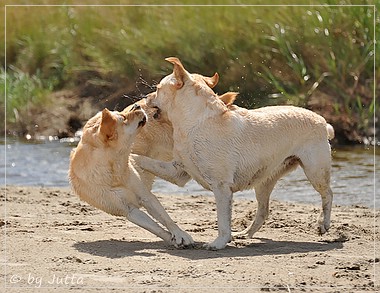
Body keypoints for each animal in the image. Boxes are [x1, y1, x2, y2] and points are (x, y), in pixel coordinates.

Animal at [68, 105, 193, 246]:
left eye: (120, 113)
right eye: (123, 118)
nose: (136, 105)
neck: (114, 171)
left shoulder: (146, 197)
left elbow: (166, 219)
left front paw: (179, 234)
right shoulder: (129, 210)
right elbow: (156, 229)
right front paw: (172, 239)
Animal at [132, 56, 334, 249]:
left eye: (158, 89)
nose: (146, 96)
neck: (194, 123)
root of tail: (323, 122)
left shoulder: (221, 186)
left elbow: (222, 222)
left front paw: (218, 243)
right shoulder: (178, 171)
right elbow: (144, 160)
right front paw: (130, 157)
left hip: (315, 171)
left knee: (328, 194)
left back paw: (322, 225)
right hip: (264, 182)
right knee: (263, 210)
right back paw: (245, 234)